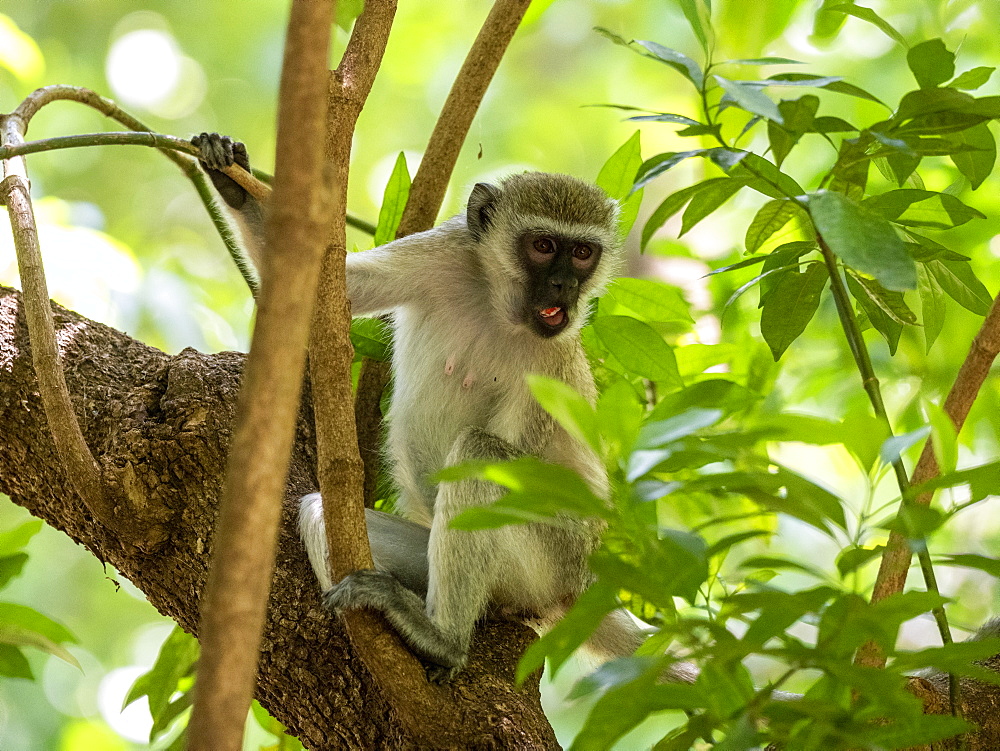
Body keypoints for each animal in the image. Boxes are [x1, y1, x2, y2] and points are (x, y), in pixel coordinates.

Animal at [195, 134, 648, 680]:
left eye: (582, 253)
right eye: (543, 246)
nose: (564, 286)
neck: (496, 304)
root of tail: (577, 587)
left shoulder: (551, 363)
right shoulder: (449, 250)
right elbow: (342, 286)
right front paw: (231, 181)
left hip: (550, 558)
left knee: (480, 453)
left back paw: (442, 639)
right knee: (317, 508)